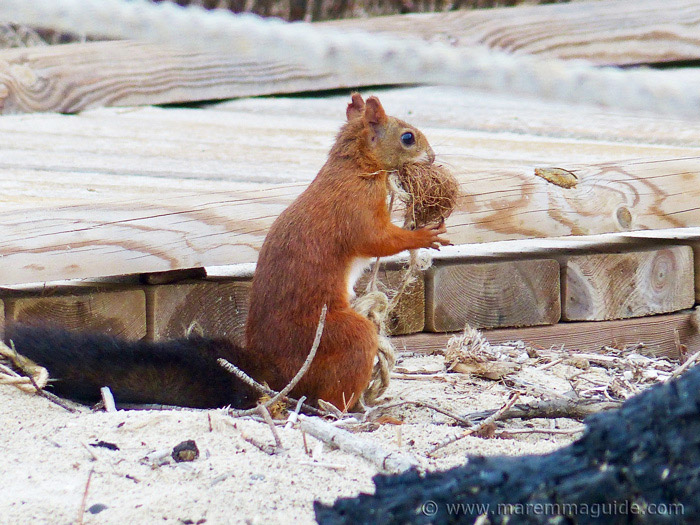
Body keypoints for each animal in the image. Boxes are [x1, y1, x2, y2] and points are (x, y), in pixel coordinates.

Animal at [6, 95, 448, 414]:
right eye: (408, 137)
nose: (433, 156)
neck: (354, 166)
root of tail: (272, 373)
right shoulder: (355, 210)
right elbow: (378, 240)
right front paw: (424, 235)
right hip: (340, 338)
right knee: (324, 399)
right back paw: (358, 412)